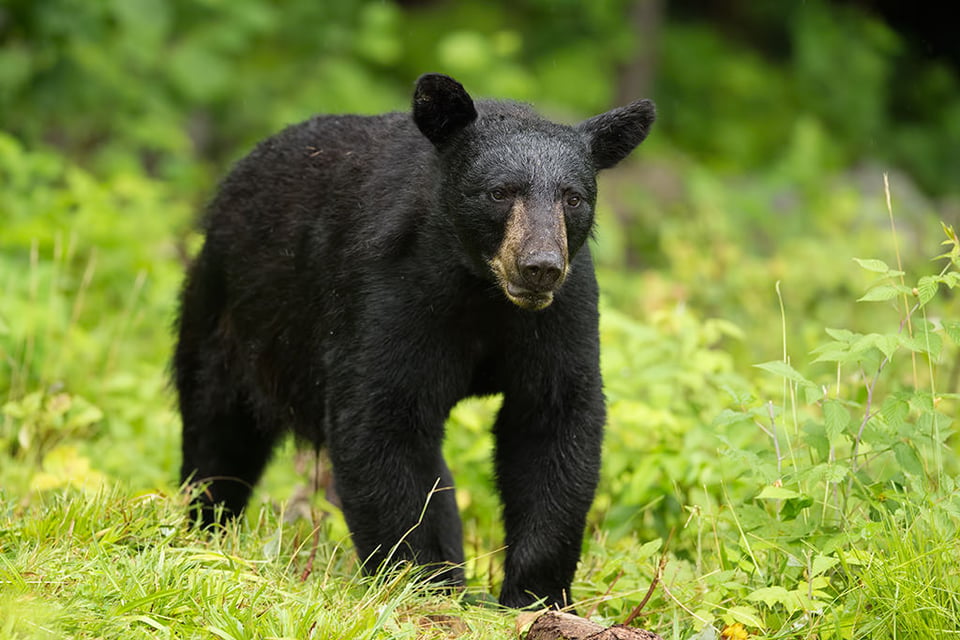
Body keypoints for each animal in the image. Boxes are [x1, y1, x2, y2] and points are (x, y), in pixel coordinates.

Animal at [174, 72, 652, 608]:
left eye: (573, 197)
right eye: (499, 192)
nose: (540, 266)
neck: (480, 287)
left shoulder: (562, 315)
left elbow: (552, 421)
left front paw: (535, 594)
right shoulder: (388, 291)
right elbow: (380, 419)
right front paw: (415, 578)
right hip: (232, 314)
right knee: (218, 428)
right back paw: (206, 526)